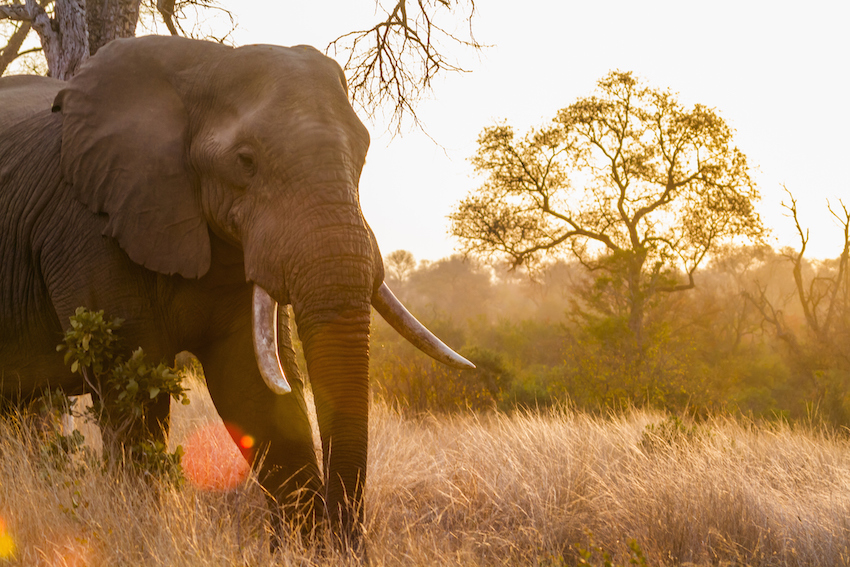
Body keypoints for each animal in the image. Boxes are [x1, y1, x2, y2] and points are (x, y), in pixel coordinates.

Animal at [0, 35, 470, 552]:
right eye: (245, 161)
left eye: (363, 153)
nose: (350, 544)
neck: (198, 66)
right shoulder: (86, 227)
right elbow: (131, 392)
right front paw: (140, 540)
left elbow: (250, 385)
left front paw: (306, 551)